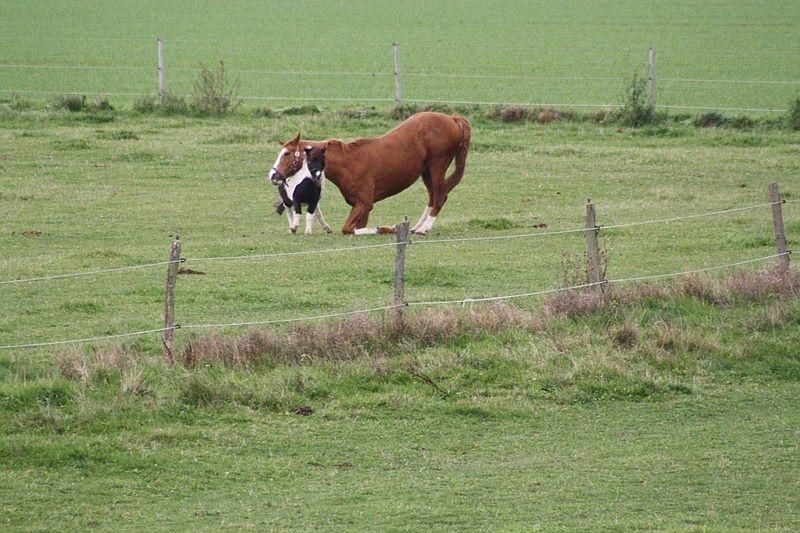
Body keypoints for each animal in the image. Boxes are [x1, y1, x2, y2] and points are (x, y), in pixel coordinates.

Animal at [268, 111, 468, 234]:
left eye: (286, 153)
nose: (273, 175)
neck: (349, 162)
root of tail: (451, 118)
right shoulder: (361, 208)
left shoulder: (364, 204)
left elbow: (348, 229)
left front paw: (385, 228)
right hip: (426, 171)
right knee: (433, 196)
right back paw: (417, 226)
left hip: (437, 167)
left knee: (440, 196)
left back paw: (424, 228)